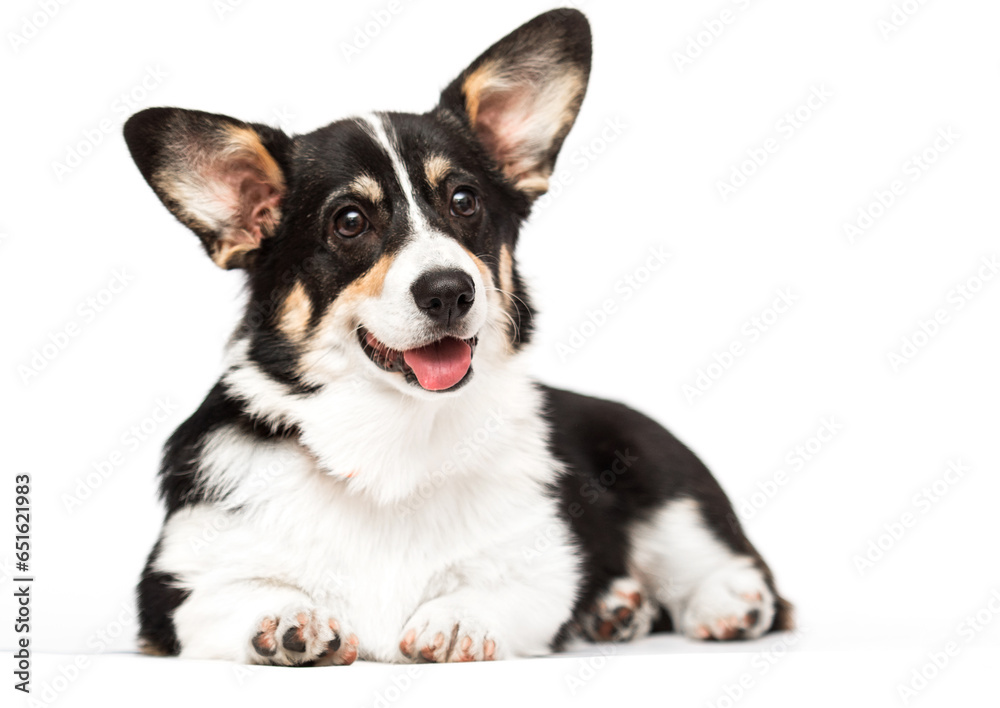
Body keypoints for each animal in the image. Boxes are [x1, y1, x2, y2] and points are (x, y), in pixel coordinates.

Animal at [125, 8, 792, 668]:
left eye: (464, 200)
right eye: (349, 221)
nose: (449, 291)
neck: (394, 436)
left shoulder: (544, 564)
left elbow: (502, 587)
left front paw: (456, 618)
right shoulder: (172, 587)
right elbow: (237, 594)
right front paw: (290, 615)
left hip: (663, 483)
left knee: (718, 565)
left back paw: (724, 604)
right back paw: (617, 609)